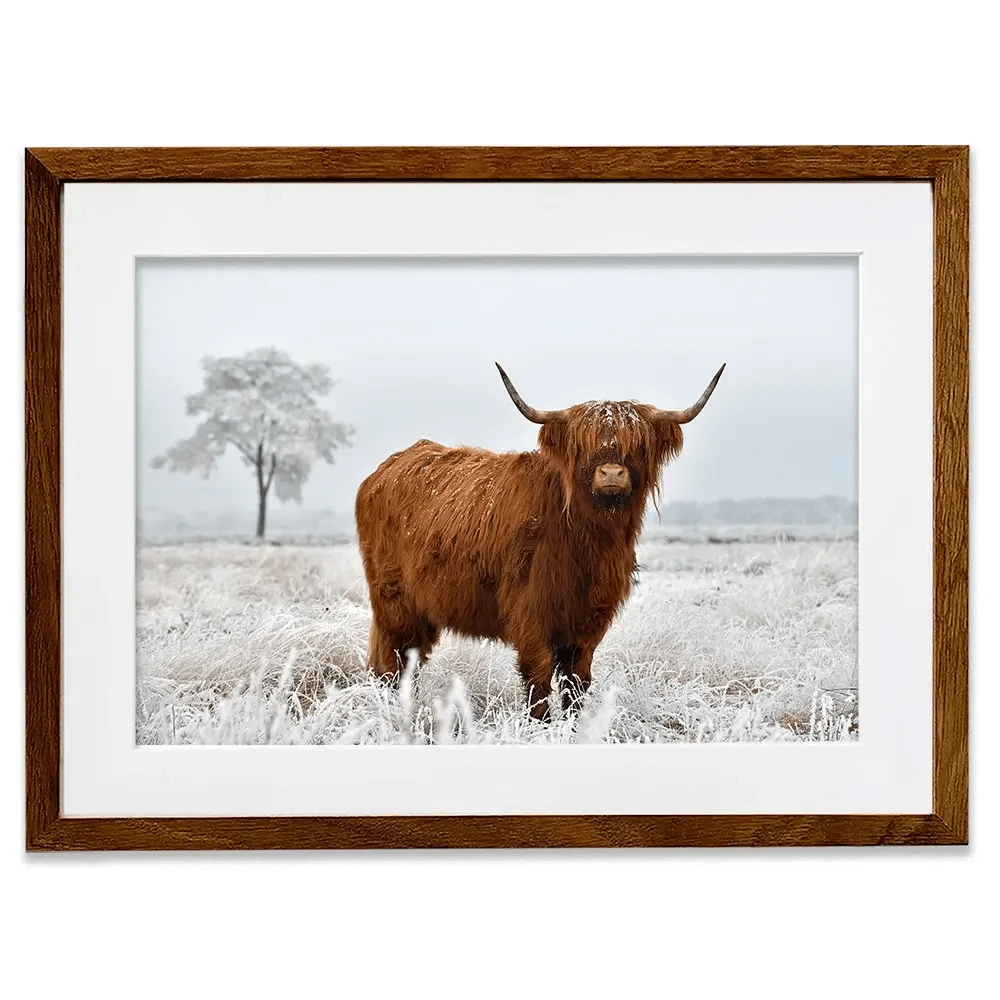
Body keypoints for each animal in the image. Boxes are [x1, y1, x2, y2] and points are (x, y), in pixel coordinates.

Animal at [354, 362, 725, 720]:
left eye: (638, 445)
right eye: (581, 445)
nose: (611, 474)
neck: (588, 541)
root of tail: (386, 469)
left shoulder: (590, 619)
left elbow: (577, 680)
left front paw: (575, 725)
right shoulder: (530, 611)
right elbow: (539, 676)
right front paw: (541, 725)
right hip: (395, 602)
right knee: (393, 661)